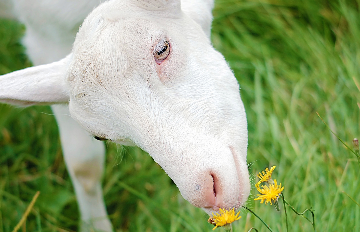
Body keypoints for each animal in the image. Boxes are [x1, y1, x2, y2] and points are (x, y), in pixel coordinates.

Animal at [0, 0, 250, 231]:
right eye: (100, 137)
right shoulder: (46, 34)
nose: (207, 193)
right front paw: (95, 226)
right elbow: (84, 166)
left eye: (162, 48)